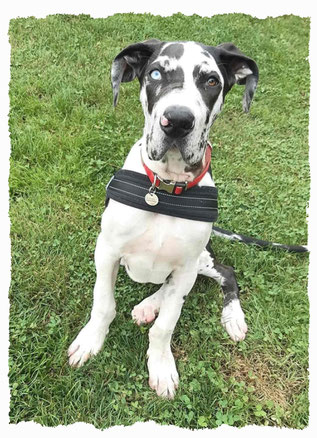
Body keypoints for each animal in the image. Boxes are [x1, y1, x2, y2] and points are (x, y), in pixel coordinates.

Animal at [66, 39, 298, 398]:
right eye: (156, 73)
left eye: (212, 81)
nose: (176, 121)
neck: (165, 190)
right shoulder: (106, 252)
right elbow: (103, 303)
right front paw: (91, 341)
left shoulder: (186, 264)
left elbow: (166, 326)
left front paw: (161, 366)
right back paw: (148, 304)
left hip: (201, 261)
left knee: (223, 274)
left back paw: (230, 317)